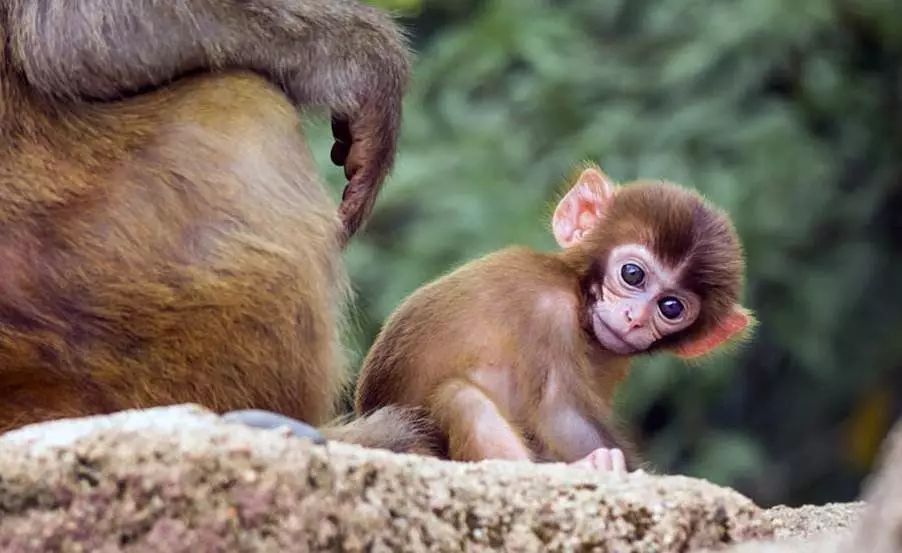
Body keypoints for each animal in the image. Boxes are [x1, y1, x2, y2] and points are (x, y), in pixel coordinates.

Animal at [356, 163, 752, 470]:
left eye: (671, 307)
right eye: (632, 274)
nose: (635, 318)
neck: (575, 289)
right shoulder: (549, 309)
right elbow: (560, 414)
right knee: (459, 396)